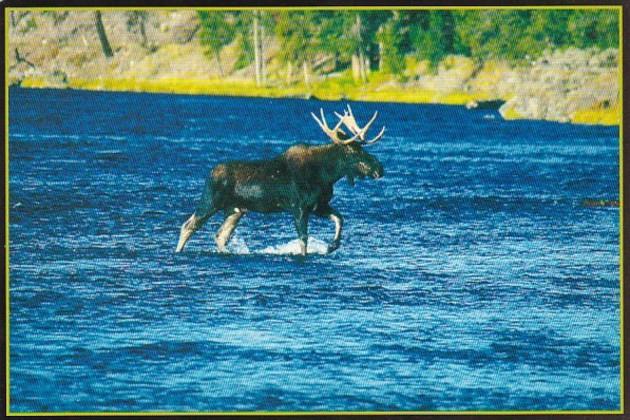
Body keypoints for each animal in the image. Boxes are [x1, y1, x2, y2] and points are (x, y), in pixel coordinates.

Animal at [175, 105, 388, 256]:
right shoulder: (299, 207)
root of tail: (210, 173)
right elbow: (303, 240)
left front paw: (331, 246)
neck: (327, 174)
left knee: (220, 235)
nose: (380, 168)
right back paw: (178, 252)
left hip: (236, 210)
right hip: (211, 202)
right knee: (188, 225)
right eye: (354, 151)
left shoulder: (318, 205)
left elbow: (340, 219)